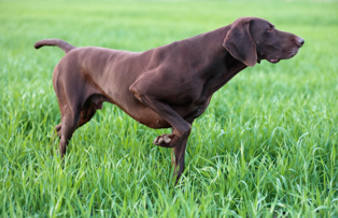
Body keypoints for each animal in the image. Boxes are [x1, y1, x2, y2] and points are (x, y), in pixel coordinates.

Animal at [34, 17, 304, 184]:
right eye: (269, 29)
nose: (301, 41)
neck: (205, 61)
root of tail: (71, 51)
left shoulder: (184, 119)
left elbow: (180, 154)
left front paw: (174, 190)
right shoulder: (142, 90)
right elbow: (182, 130)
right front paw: (163, 140)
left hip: (84, 112)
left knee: (57, 129)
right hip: (74, 109)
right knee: (63, 138)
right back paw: (60, 168)